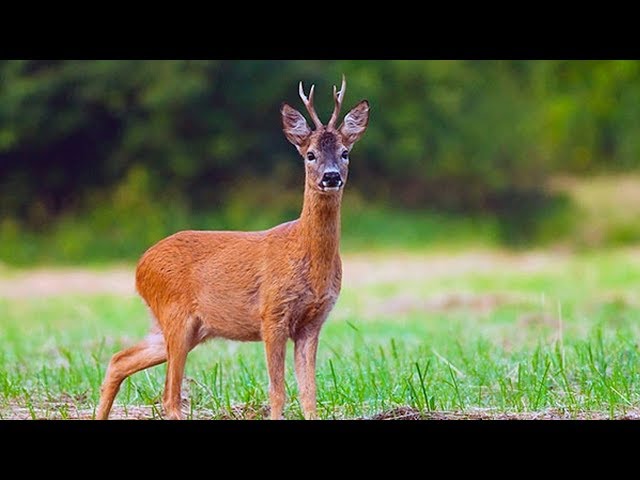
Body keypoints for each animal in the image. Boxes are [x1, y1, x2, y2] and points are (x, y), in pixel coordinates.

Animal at [92, 76, 368, 420]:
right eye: (310, 154)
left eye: (345, 153)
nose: (331, 177)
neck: (305, 253)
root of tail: (140, 266)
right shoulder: (272, 313)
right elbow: (278, 391)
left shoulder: (312, 322)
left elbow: (309, 394)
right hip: (175, 314)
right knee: (169, 395)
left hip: (187, 327)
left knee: (119, 359)